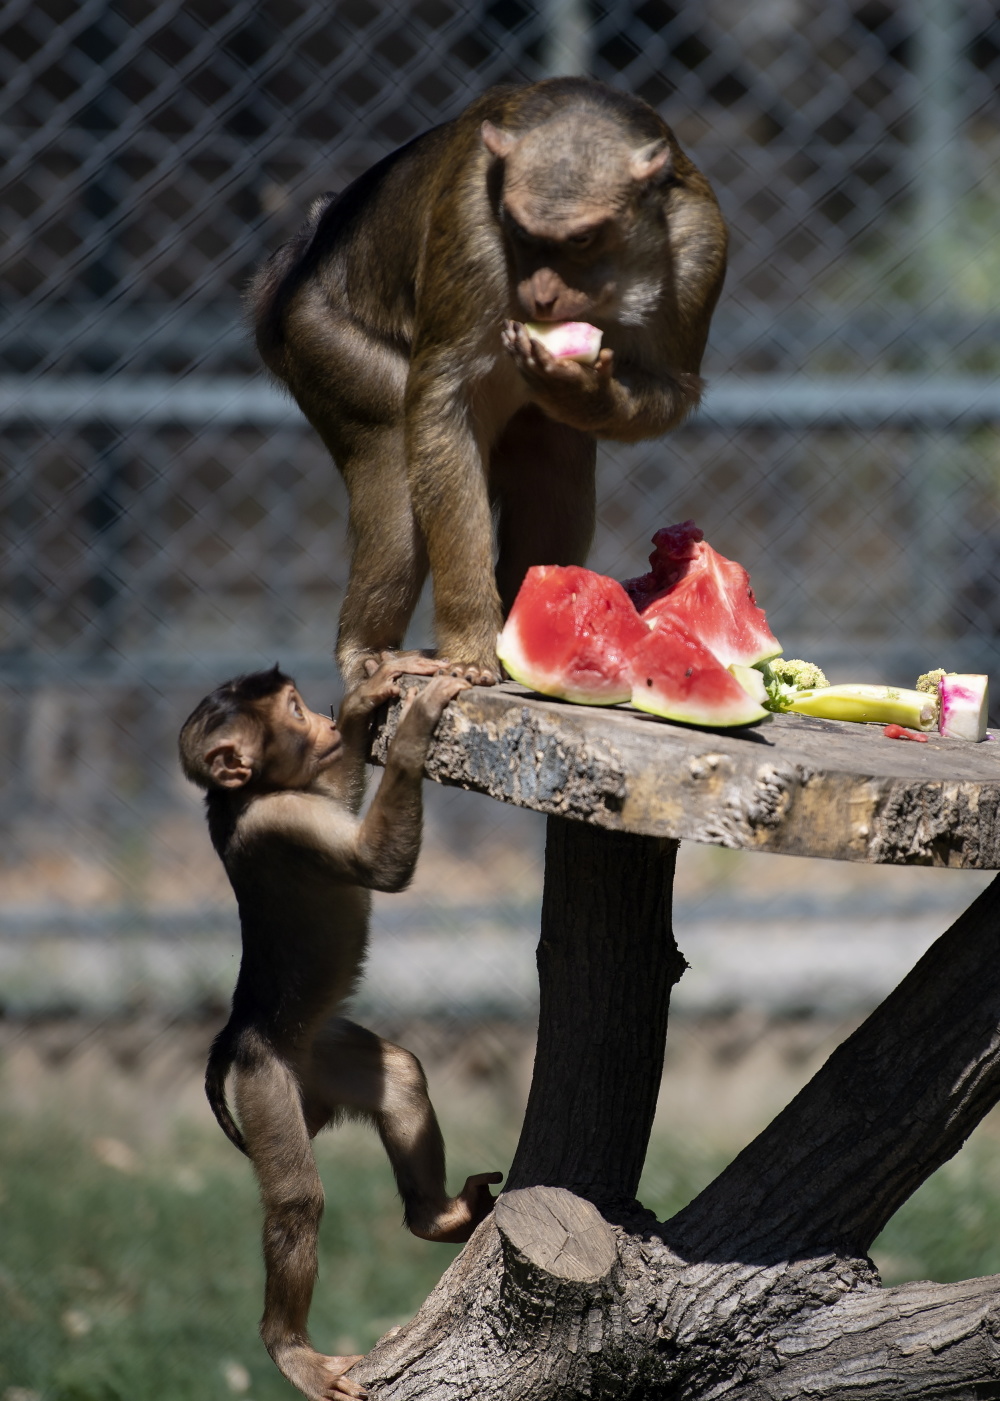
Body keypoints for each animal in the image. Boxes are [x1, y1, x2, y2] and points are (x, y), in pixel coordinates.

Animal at [177, 658, 498, 1401]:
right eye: (293, 711)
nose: (321, 721)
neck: (246, 798)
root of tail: (240, 1031)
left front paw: (364, 706)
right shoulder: (285, 817)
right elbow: (374, 863)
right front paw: (413, 728)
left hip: (320, 1055)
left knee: (400, 1076)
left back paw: (433, 1215)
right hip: (266, 1076)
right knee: (296, 1202)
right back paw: (290, 1349)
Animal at [249, 78, 722, 689]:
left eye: (581, 239)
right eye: (521, 233)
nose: (541, 293)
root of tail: (305, 244)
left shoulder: (700, 243)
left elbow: (672, 387)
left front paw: (584, 390)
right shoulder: (471, 222)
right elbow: (442, 402)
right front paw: (471, 644)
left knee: (555, 461)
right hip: (310, 327)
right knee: (395, 451)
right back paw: (367, 650)